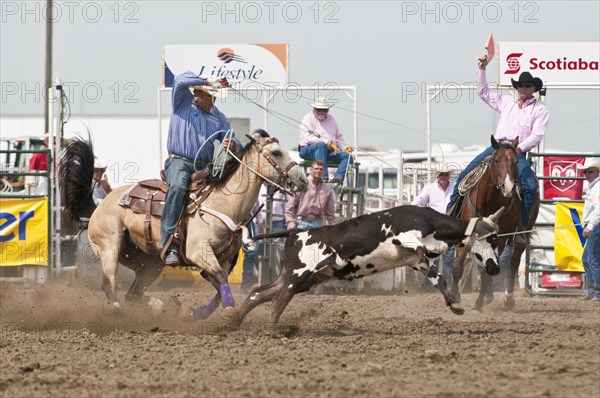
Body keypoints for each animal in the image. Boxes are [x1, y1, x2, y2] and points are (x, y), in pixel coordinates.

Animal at [59, 131, 310, 318]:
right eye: (276, 152)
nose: (303, 180)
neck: (223, 204)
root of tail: (99, 205)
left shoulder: (225, 257)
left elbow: (219, 286)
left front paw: (198, 313)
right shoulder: (198, 252)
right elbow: (219, 278)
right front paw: (229, 310)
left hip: (149, 263)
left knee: (134, 294)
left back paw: (159, 306)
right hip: (110, 247)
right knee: (109, 283)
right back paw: (118, 310)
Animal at [452, 135, 540, 310]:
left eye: (515, 162)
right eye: (497, 161)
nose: (509, 187)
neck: (488, 201)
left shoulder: (500, 237)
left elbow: (489, 271)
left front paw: (478, 304)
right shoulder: (468, 234)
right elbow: (458, 266)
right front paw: (454, 297)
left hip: (522, 234)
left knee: (514, 261)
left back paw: (508, 298)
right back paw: (489, 295)